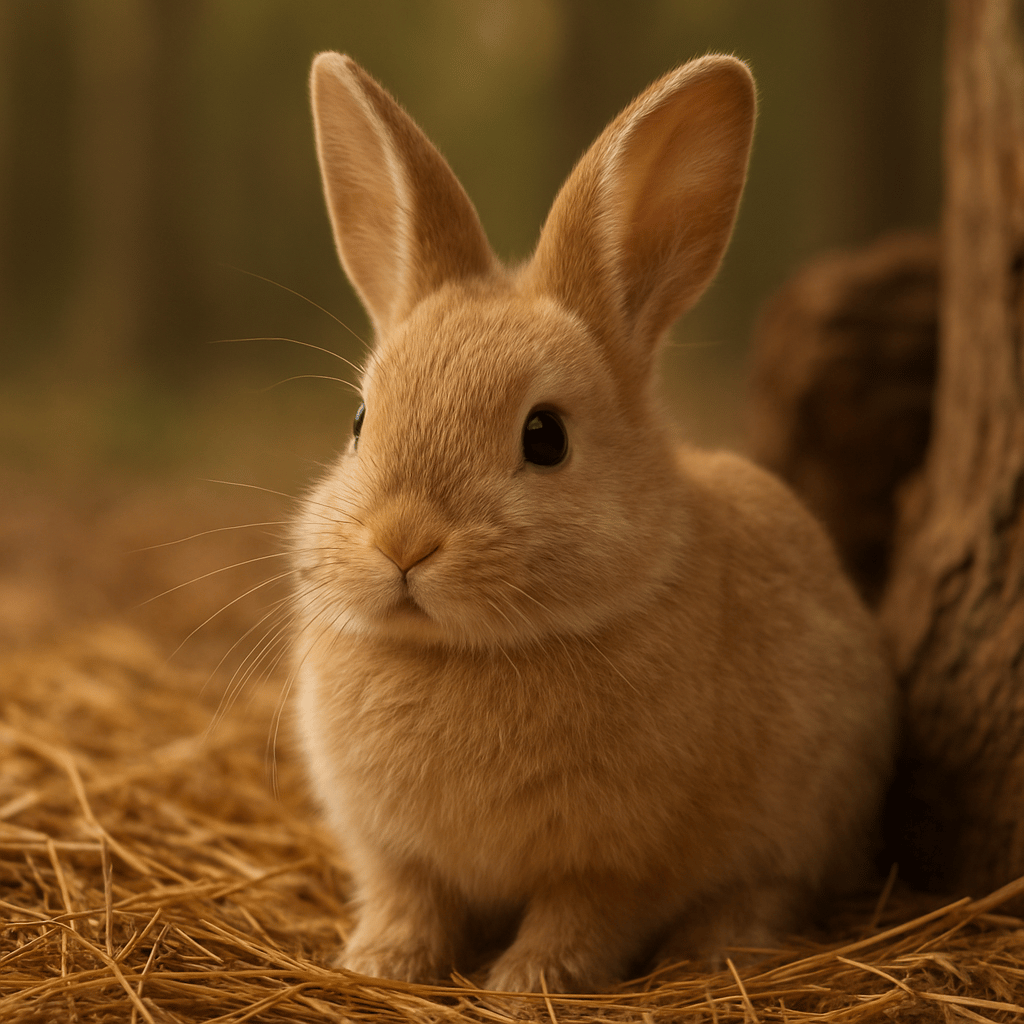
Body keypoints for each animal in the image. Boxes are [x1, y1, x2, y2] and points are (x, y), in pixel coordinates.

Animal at [289, 51, 896, 994]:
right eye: (358, 422)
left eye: (546, 437)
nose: (402, 542)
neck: (463, 654)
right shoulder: (392, 852)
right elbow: (408, 900)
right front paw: (380, 964)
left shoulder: (623, 863)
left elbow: (581, 918)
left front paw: (527, 983)